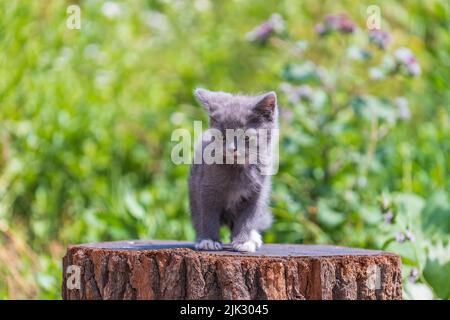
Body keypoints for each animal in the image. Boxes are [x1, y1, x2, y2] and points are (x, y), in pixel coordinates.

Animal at [187, 88, 278, 252]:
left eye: (245, 137)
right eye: (223, 137)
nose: (232, 149)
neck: (238, 169)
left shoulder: (257, 193)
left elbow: (247, 218)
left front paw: (244, 241)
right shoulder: (206, 187)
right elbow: (207, 214)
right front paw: (209, 240)